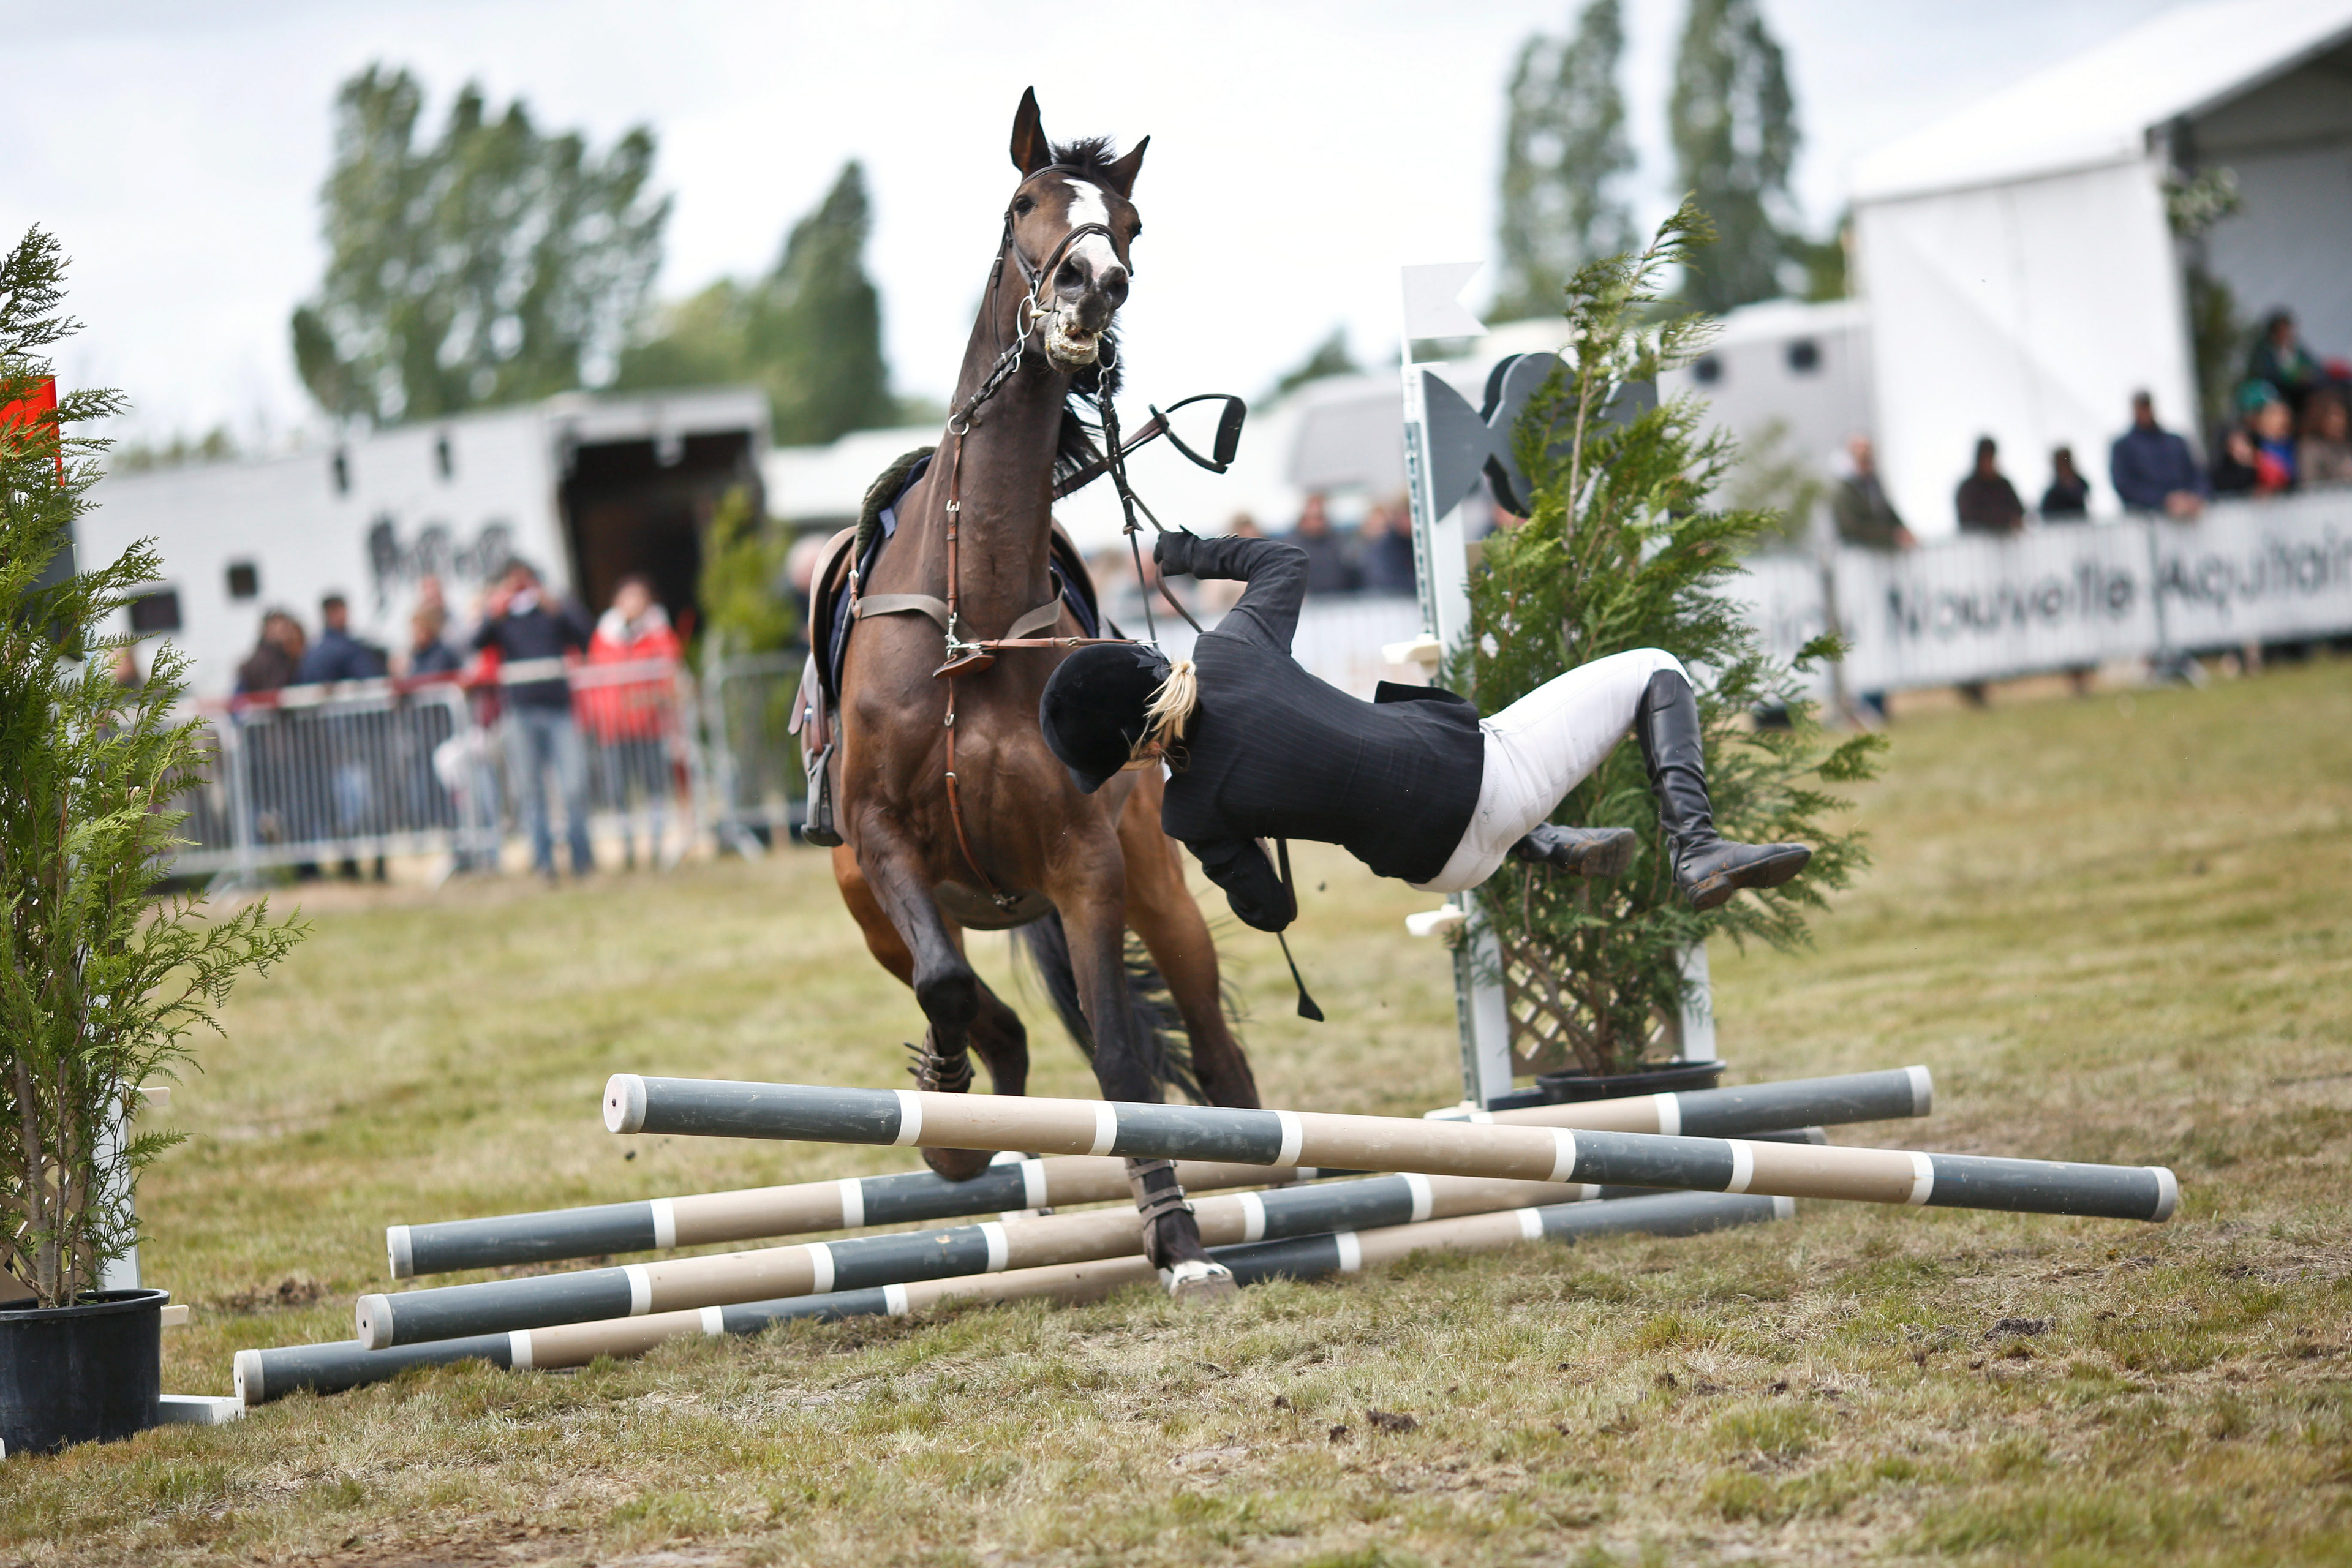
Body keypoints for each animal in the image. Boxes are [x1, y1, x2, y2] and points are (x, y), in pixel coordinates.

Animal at [827, 89, 1261, 1295]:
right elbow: (944, 985)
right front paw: (949, 1123)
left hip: (1161, 888)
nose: (1093, 283)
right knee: (970, 998)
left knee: (1219, 1056)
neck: (967, 625)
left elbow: (1121, 1057)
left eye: (1134, 222)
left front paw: (1178, 1239)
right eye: (1026, 203)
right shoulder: (877, 839)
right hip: (864, 897)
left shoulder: (1087, 865)